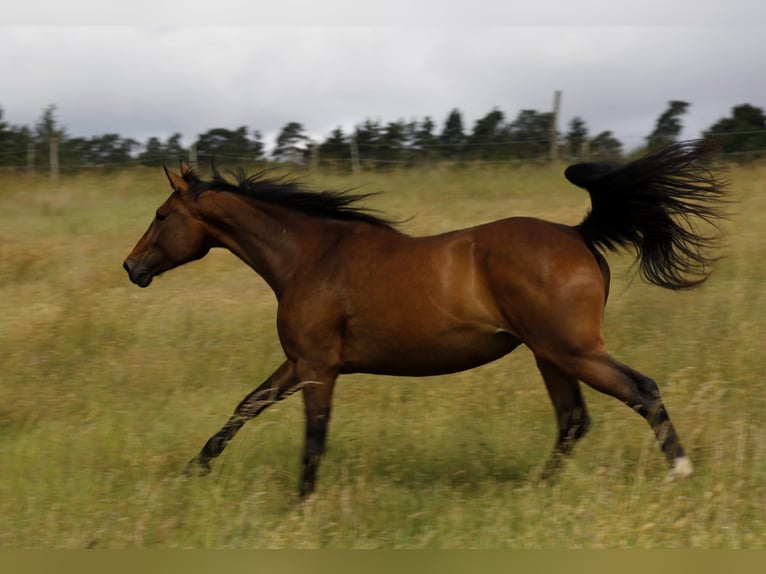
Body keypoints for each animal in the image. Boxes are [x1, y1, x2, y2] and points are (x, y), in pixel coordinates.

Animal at [123, 140, 728, 497]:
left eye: (162, 215)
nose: (132, 267)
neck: (308, 256)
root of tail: (580, 234)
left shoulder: (318, 367)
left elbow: (313, 437)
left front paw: (302, 505)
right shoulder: (298, 363)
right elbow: (245, 408)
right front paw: (189, 474)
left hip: (573, 351)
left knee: (641, 390)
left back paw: (679, 472)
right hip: (549, 355)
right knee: (574, 420)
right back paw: (534, 491)